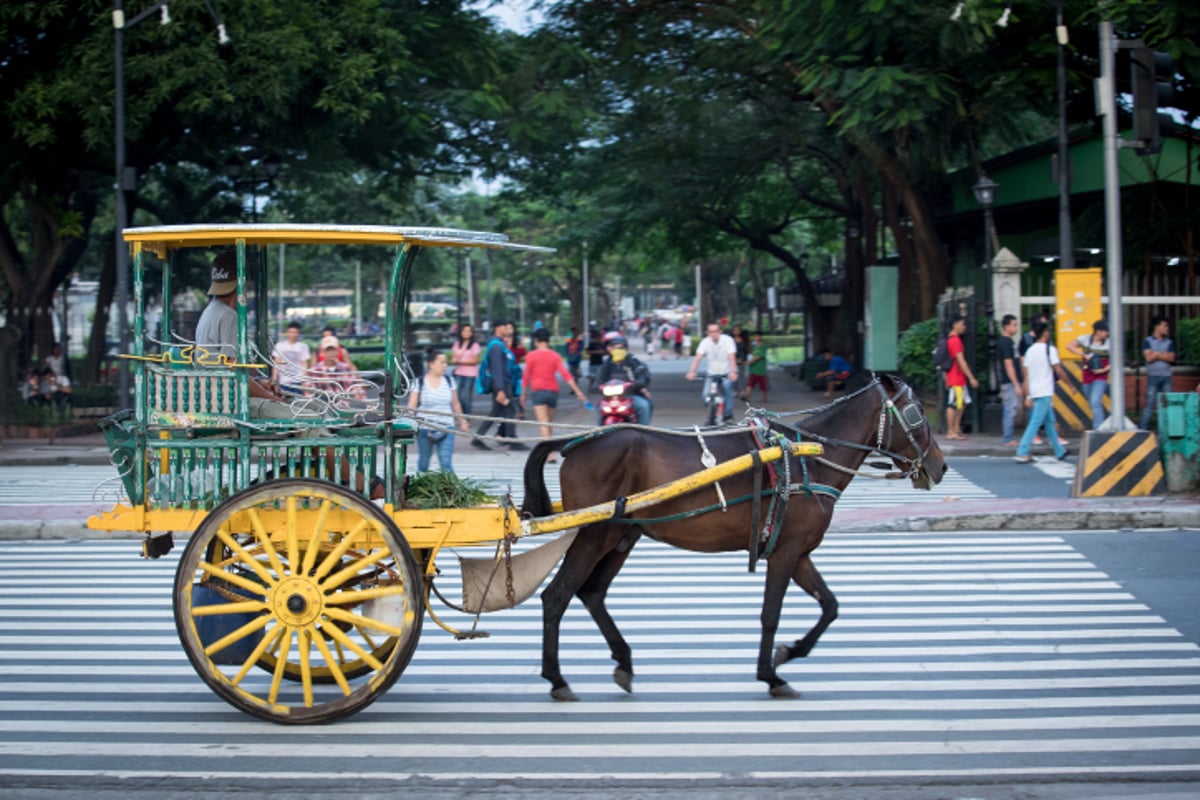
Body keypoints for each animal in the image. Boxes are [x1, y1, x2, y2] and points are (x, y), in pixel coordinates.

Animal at [523, 371, 945, 695]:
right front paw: (771, 674)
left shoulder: (799, 553)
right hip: (595, 534)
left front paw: (790, 652)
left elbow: (830, 605)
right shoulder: (785, 551)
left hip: (622, 537)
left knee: (591, 593)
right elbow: (771, 613)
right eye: (915, 413)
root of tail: (574, 443)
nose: (940, 467)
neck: (809, 458)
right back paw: (557, 678)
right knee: (557, 596)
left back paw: (623, 662)